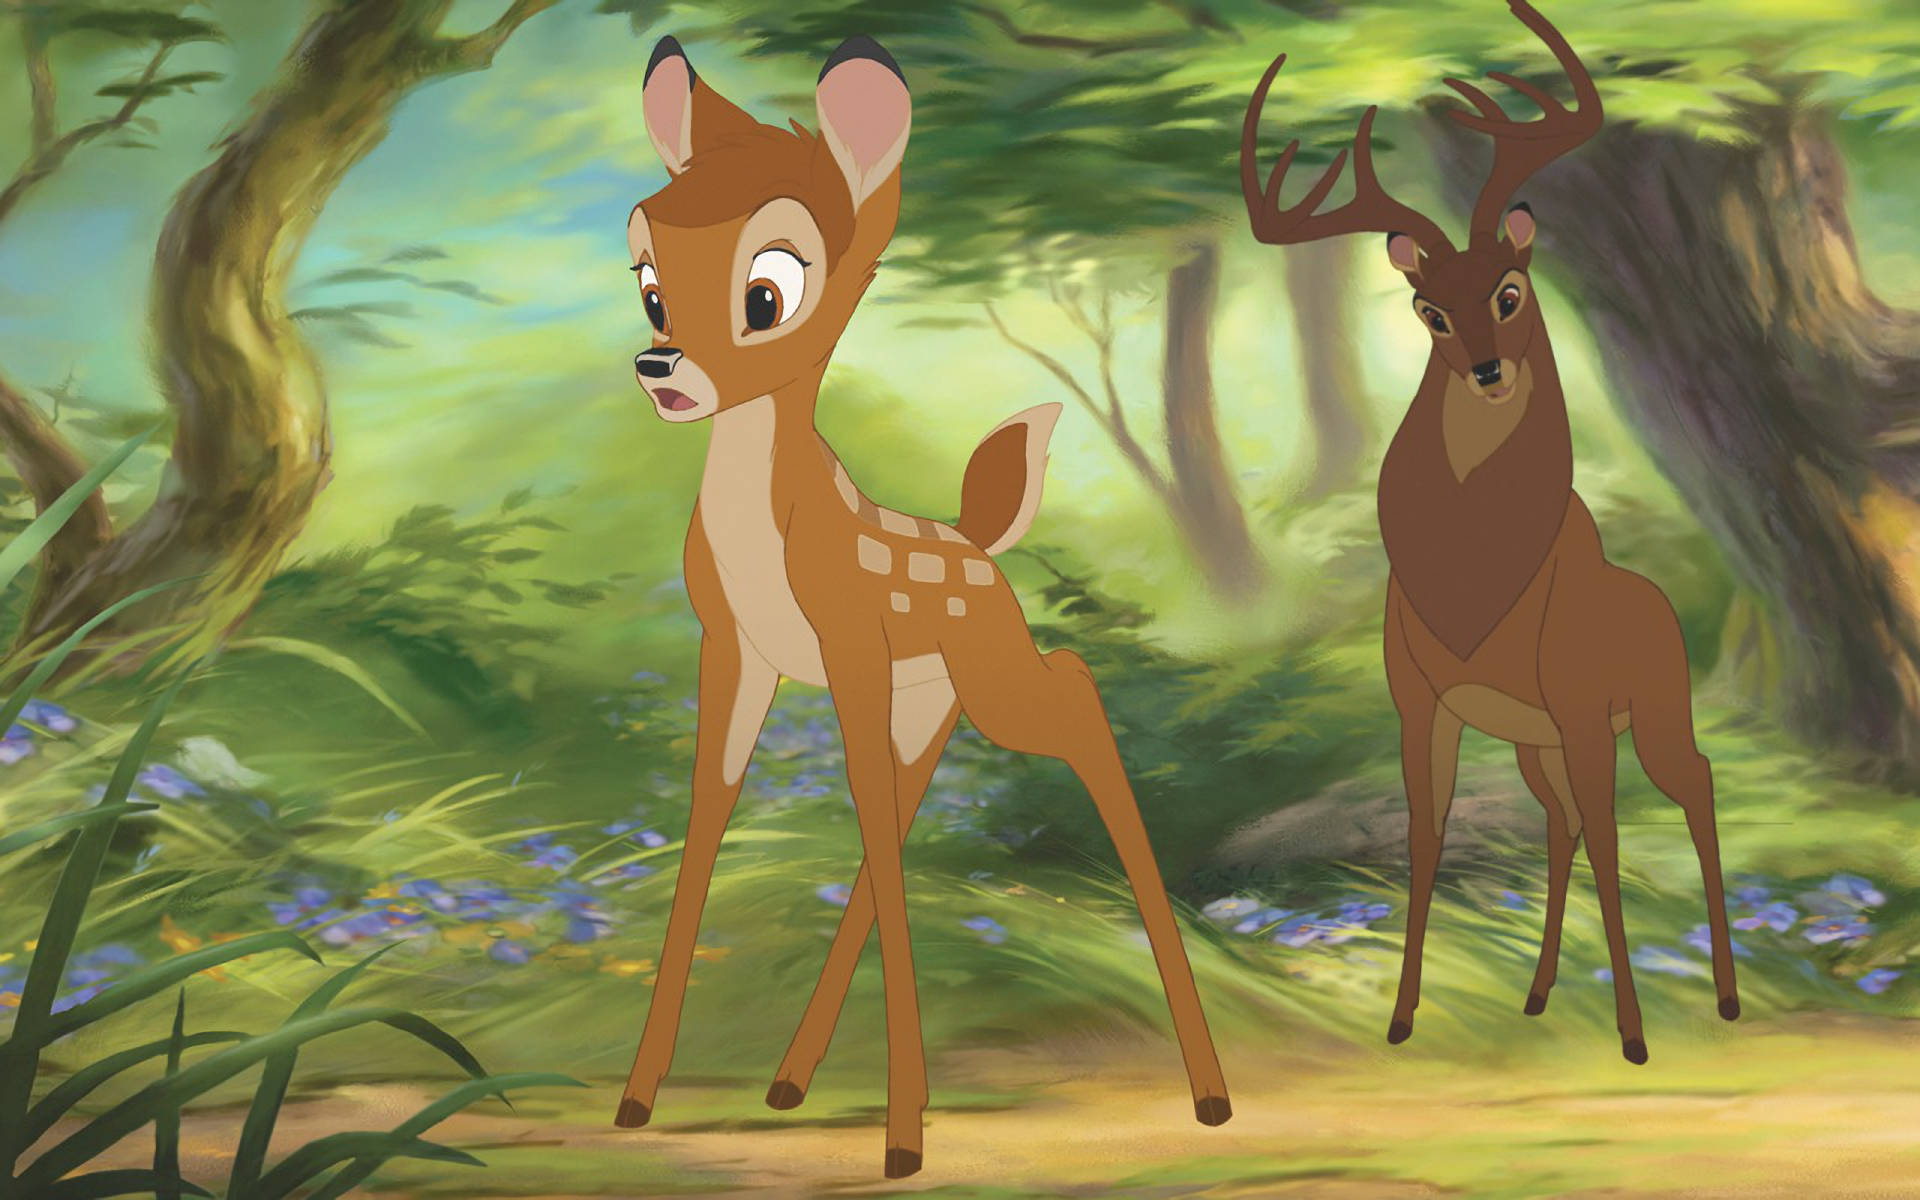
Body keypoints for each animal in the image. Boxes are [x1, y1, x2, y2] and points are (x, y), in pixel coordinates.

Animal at [615, 34, 1231, 1177]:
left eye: (769, 290)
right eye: (649, 285)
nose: (659, 366)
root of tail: (983, 545)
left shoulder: (847, 637)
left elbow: (848, 806)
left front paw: (901, 1143)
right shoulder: (738, 648)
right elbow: (710, 816)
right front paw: (635, 1101)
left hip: (988, 678)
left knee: (1074, 692)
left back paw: (1209, 1094)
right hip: (933, 697)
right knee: (906, 801)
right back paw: (791, 1081)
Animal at [1240, 0, 1739, 1065]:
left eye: (1511, 288)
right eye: (1428, 308)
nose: (1485, 370)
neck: (1479, 578)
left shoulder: (1586, 707)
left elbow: (1615, 830)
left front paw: (1634, 1037)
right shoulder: (1423, 701)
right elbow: (1428, 836)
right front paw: (1399, 1017)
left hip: (1655, 708)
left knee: (1692, 785)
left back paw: (1720, 998)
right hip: (1531, 741)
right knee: (1562, 825)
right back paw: (1540, 996)